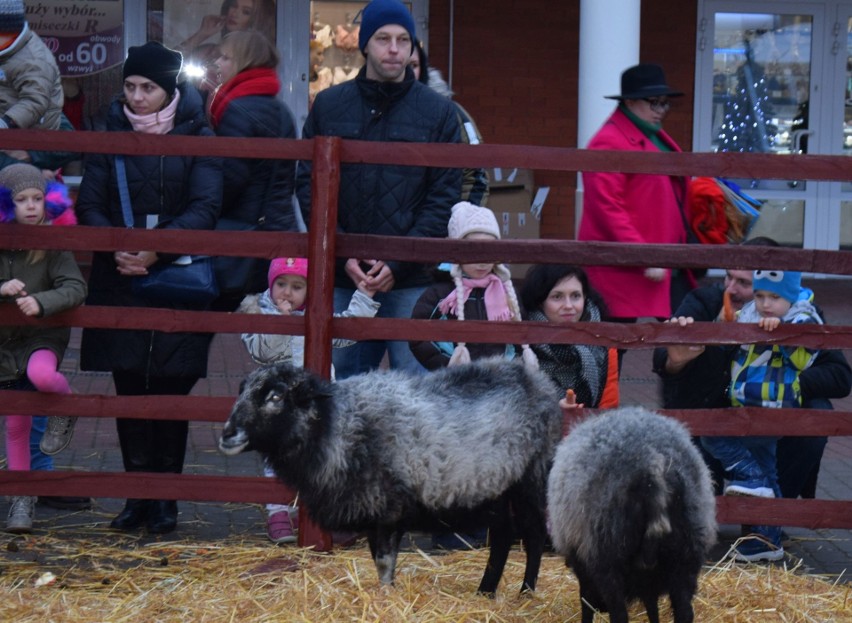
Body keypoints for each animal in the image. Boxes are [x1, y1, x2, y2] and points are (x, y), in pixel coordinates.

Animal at [216, 356, 564, 596]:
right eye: (242, 392)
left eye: (275, 397)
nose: (227, 434)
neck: (337, 427)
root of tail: (538, 380)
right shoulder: (374, 513)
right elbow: (379, 562)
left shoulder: (389, 509)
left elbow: (385, 563)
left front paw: (386, 597)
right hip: (494, 487)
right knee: (504, 535)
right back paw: (485, 592)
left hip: (529, 478)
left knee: (533, 534)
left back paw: (525, 592)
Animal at [544, 408, 720, 620]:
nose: (601, 608)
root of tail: (651, 462)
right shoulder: (649, 581)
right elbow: (652, 607)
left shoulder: (584, 561)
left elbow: (586, 601)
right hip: (688, 551)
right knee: (685, 611)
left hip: (607, 552)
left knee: (619, 614)